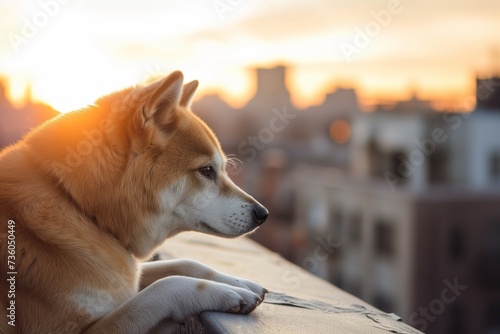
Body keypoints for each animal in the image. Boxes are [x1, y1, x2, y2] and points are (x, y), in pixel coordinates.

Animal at [0, 72, 270, 332]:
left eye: (222, 169)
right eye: (206, 171)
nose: (263, 213)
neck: (78, 206)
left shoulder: (126, 277)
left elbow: (184, 264)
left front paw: (238, 282)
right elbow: (165, 285)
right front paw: (227, 291)